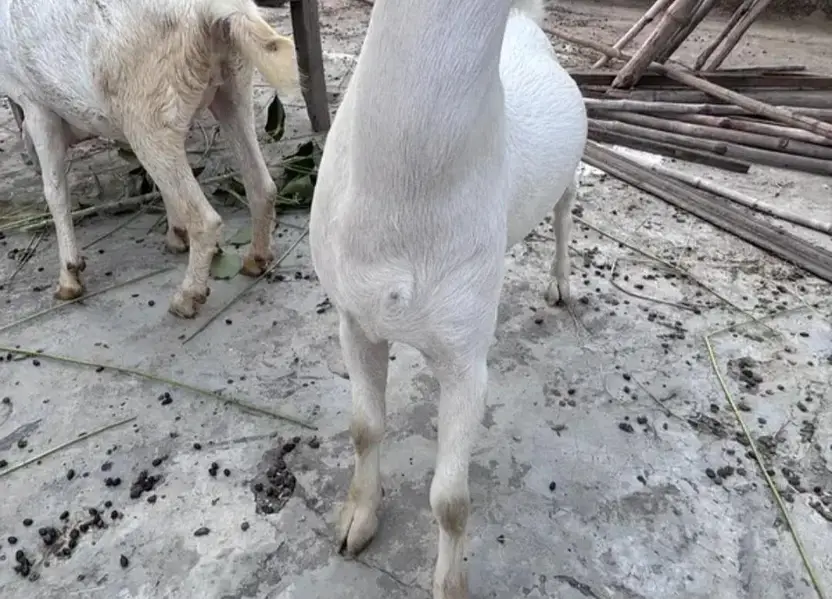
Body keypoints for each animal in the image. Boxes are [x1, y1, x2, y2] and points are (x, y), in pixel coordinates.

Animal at [0, 0, 298, 317]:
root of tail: (213, 9)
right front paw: (176, 236)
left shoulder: (35, 102)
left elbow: (55, 193)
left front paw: (69, 280)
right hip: (233, 83)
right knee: (262, 186)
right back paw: (255, 259)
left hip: (147, 111)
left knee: (205, 219)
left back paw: (186, 298)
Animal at [309, 0, 587, 596]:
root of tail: (527, 23)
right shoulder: (353, 319)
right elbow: (364, 428)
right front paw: (356, 522)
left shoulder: (466, 358)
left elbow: (452, 501)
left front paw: (449, 583)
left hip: (574, 165)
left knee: (563, 209)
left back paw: (560, 283)